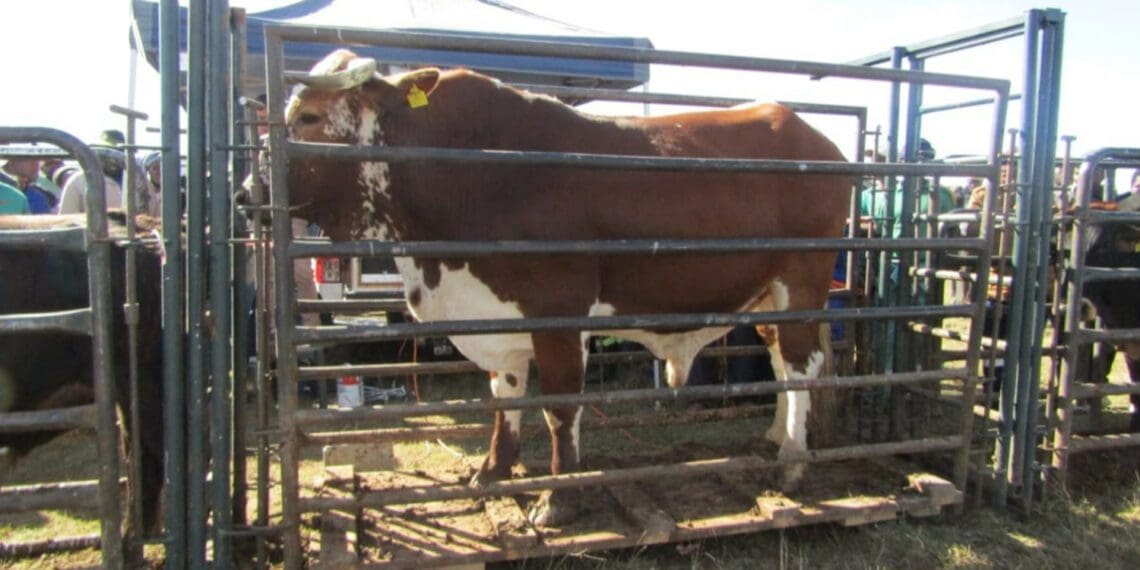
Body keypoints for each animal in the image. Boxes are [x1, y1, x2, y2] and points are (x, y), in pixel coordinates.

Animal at [279, 49, 851, 526]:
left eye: (307, 119)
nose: (257, 187)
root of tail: (814, 139)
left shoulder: (559, 313)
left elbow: (559, 407)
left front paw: (560, 498)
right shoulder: (497, 317)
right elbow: (504, 396)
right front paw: (492, 472)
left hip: (802, 282)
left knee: (802, 365)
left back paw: (792, 461)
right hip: (766, 294)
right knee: (780, 361)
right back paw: (775, 437)